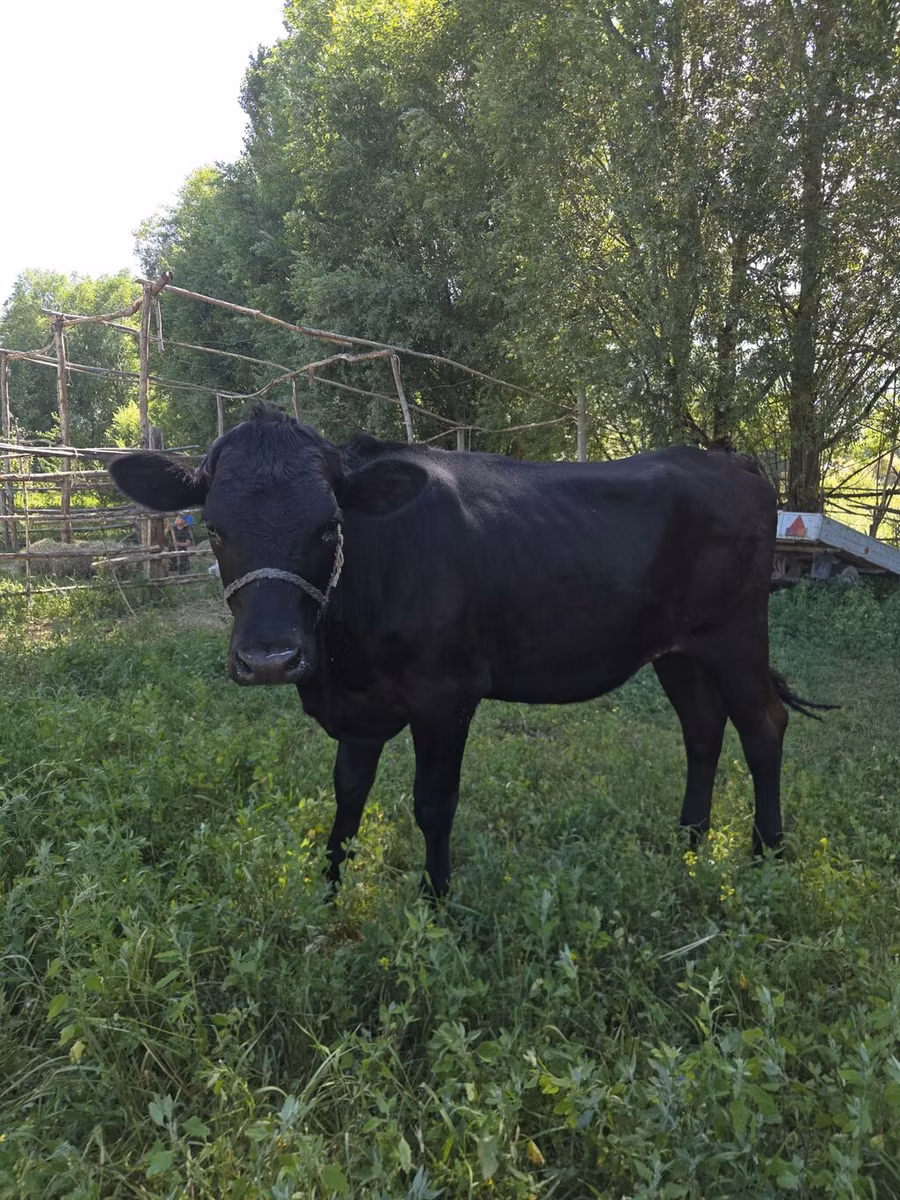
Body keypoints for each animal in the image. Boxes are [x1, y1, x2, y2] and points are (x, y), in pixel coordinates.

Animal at [110, 409, 818, 898]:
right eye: (214, 528)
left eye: (329, 526)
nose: (269, 661)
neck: (342, 662)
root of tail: (730, 462)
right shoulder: (360, 707)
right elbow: (347, 793)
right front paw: (330, 889)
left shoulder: (445, 694)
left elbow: (432, 803)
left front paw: (436, 899)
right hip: (677, 649)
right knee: (702, 728)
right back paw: (689, 842)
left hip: (735, 635)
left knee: (763, 725)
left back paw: (766, 852)